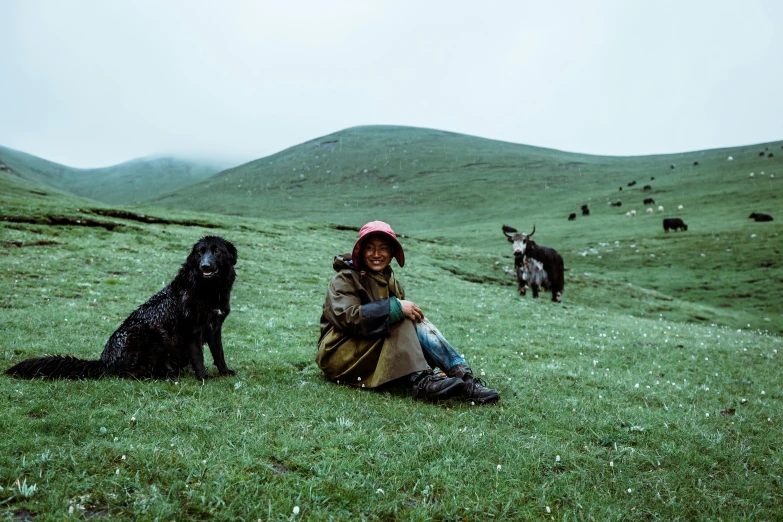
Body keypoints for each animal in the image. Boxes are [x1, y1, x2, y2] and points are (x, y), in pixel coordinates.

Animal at [6, 235, 237, 378]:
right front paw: (203, 378)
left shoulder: (215, 327)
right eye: (200, 252)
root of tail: (104, 362)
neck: (209, 289)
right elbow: (199, 356)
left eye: (216, 251)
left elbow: (219, 354)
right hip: (151, 334)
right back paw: (166, 376)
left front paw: (225, 373)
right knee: (137, 373)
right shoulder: (193, 329)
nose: (204, 266)